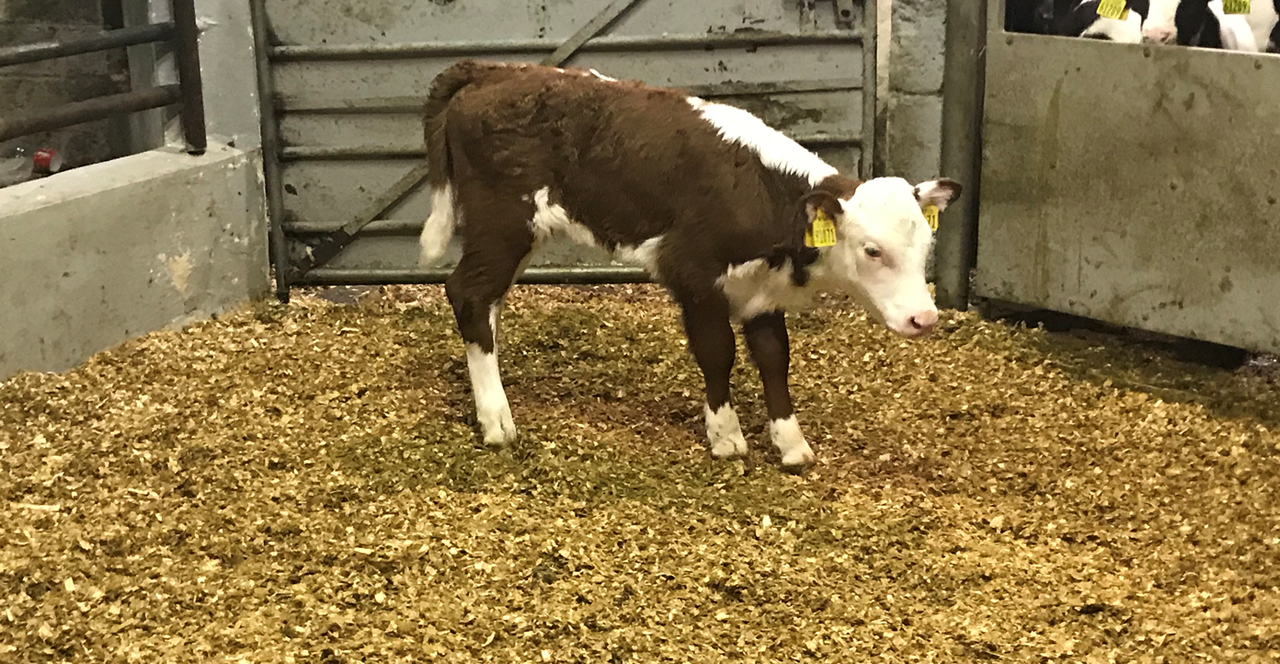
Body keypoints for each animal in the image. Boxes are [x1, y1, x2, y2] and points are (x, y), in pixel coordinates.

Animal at [416, 60, 961, 472]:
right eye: (872, 250)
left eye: (926, 244)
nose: (924, 318)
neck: (763, 194)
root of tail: (494, 69)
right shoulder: (692, 272)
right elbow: (717, 352)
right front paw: (726, 435)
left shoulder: (762, 291)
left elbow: (774, 359)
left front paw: (791, 443)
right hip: (503, 221)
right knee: (468, 293)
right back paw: (497, 420)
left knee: (487, 302)